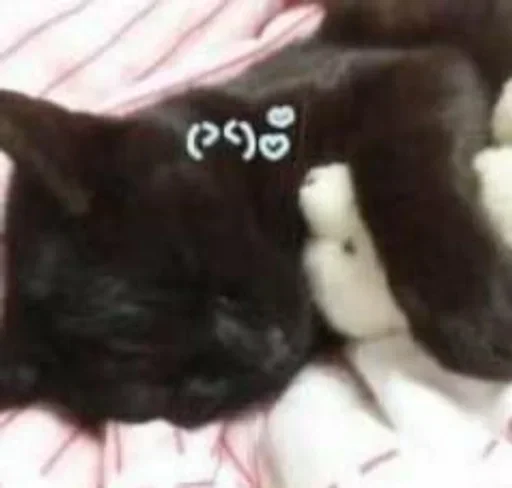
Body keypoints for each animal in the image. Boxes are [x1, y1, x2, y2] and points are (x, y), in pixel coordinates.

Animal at [0, 0, 511, 428]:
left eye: (197, 259)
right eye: (171, 384)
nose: (269, 348)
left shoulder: (413, 67)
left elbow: (397, 160)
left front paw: (473, 314)